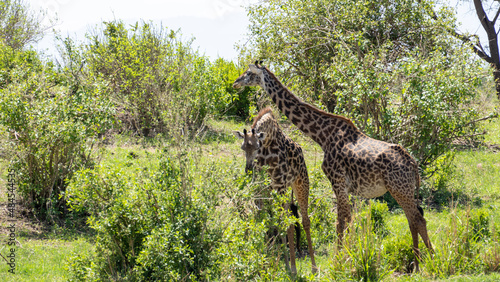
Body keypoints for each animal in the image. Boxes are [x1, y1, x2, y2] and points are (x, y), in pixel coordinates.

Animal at [233, 107, 316, 274]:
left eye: (256, 146)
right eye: (243, 147)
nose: (248, 169)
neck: (267, 145)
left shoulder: (280, 186)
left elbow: (287, 224)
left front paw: (292, 268)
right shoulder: (261, 187)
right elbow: (264, 220)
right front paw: (265, 258)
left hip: (300, 184)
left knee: (305, 221)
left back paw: (313, 267)